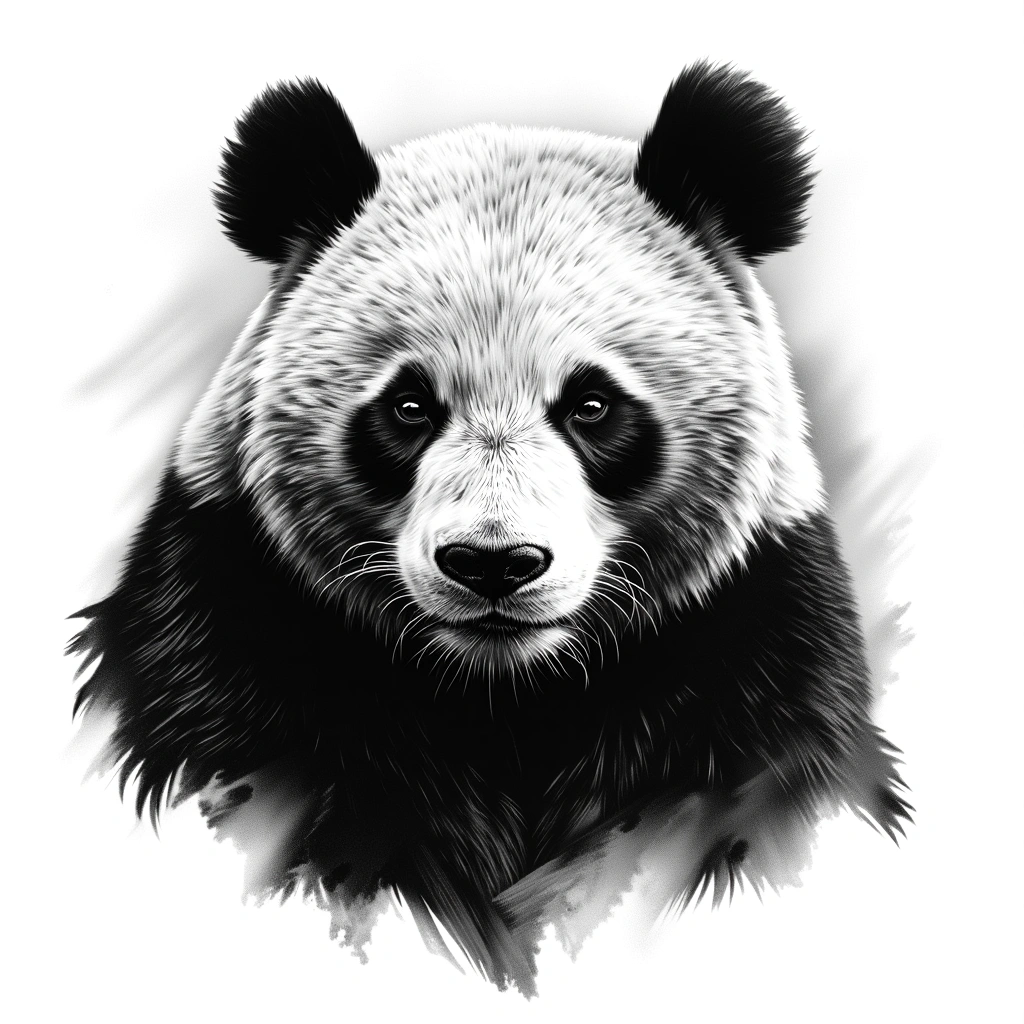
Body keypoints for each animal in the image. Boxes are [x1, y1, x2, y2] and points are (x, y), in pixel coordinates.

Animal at [70, 62, 910, 995]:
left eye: (591, 406)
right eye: (408, 406)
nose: (494, 565)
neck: (504, 693)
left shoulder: (750, 649)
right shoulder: (229, 628)